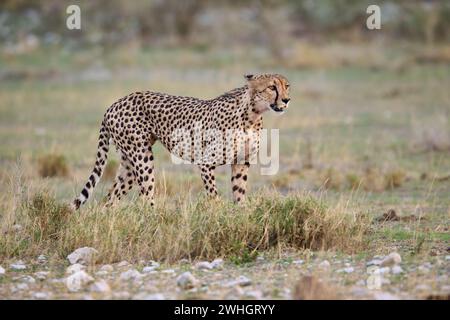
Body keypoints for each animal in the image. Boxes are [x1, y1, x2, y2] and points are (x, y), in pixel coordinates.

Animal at [72, 73, 290, 210]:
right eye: (272, 87)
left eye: (286, 86)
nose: (287, 100)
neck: (253, 114)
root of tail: (115, 104)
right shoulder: (206, 162)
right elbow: (213, 195)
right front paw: (219, 213)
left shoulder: (241, 162)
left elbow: (239, 191)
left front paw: (240, 213)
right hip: (141, 156)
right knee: (146, 196)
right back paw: (156, 220)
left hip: (128, 162)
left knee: (111, 197)